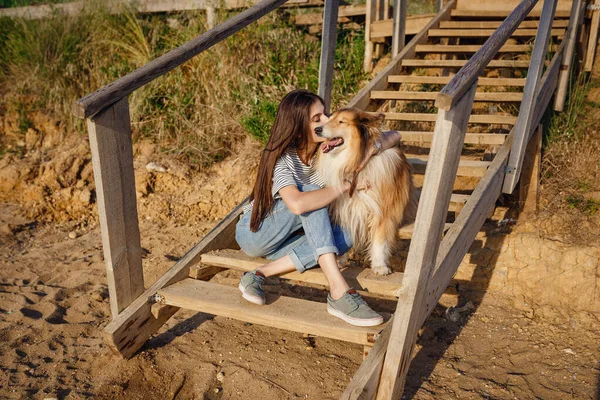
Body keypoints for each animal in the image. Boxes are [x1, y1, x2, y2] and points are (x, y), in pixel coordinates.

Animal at [314, 108, 418, 276]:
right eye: (330, 119)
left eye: (341, 122)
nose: (317, 129)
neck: (355, 162)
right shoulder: (345, 209)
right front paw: (340, 260)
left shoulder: (384, 211)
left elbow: (380, 241)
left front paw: (380, 266)